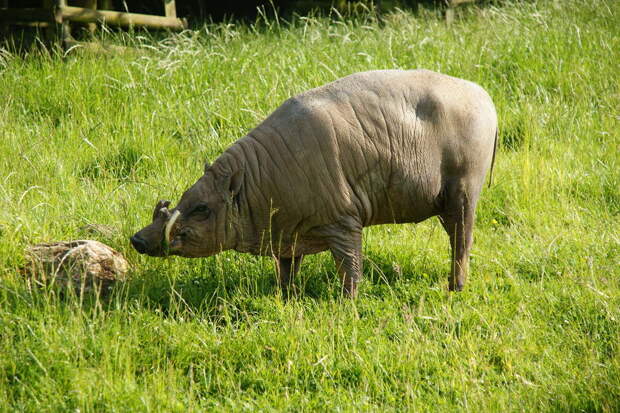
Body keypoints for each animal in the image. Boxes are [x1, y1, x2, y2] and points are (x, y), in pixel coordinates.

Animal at [131, 71, 498, 296]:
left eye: (202, 208)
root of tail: (487, 99)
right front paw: (284, 297)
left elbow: (350, 267)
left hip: (465, 191)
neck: (258, 181)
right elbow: (286, 270)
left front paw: (347, 303)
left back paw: (455, 288)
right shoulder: (285, 233)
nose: (137, 239)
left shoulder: (344, 221)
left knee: (462, 241)